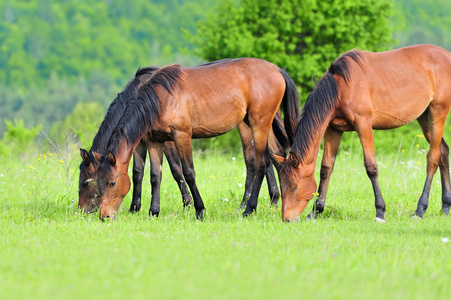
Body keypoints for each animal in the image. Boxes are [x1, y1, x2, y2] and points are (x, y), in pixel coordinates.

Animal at [78, 67, 192, 214]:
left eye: (85, 183)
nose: (82, 210)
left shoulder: (167, 140)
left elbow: (176, 169)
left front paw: (187, 204)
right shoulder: (138, 143)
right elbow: (137, 172)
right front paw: (134, 208)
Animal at [272, 45, 451, 223]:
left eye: (294, 186)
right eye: (282, 185)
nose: (287, 219)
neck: (341, 87)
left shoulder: (363, 123)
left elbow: (371, 167)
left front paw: (380, 211)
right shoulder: (333, 129)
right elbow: (326, 168)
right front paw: (315, 211)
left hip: (438, 111)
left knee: (433, 158)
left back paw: (420, 210)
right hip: (424, 117)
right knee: (443, 151)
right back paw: (445, 207)